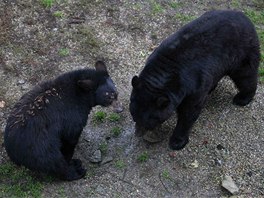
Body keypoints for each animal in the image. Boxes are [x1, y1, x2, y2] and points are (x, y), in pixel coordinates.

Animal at [130, 10, 260, 150]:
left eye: (149, 121)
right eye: (134, 116)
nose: (138, 133)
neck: (164, 73)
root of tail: (244, 16)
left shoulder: (194, 85)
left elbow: (189, 112)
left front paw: (177, 141)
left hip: (241, 53)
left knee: (245, 76)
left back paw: (242, 98)